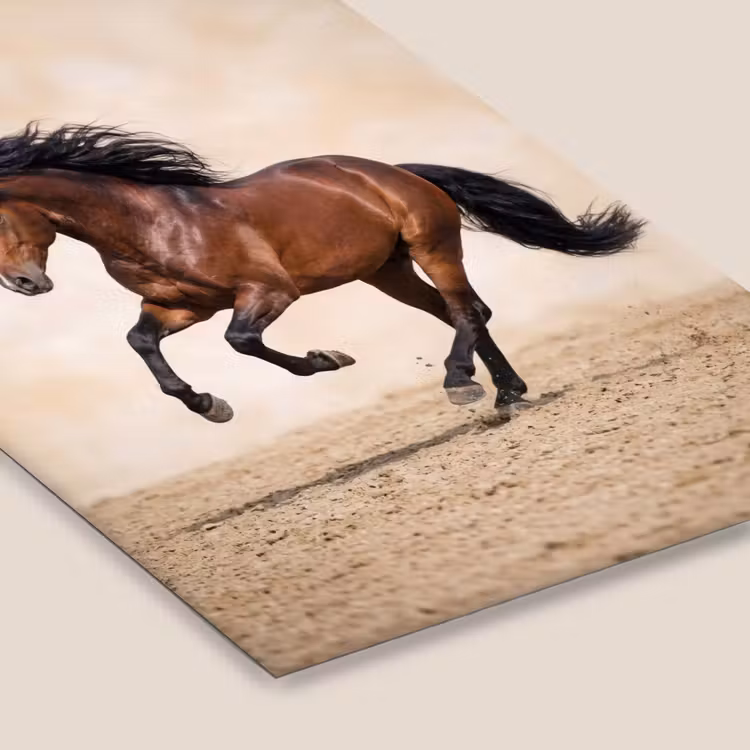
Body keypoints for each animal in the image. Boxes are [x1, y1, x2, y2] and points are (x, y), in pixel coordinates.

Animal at [0, 122, 646, 423]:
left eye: (0, 216)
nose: (24, 284)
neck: (150, 222)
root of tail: (393, 172)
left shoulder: (268, 291)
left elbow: (242, 340)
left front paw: (327, 359)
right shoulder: (180, 307)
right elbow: (141, 343)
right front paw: (210, 405)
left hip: (432, 246)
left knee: (466, 309)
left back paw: (462, 383)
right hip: (386, 271)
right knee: (466, 312)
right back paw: (508, 392)